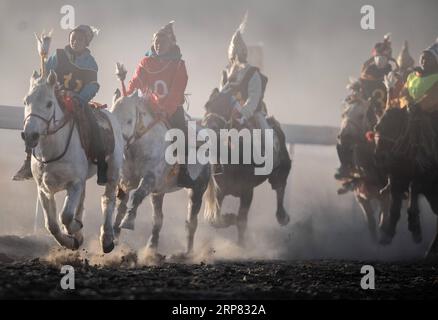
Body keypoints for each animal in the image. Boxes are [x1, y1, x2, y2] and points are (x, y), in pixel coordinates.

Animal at [23, 70, 124, 252]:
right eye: (26, 101)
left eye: (49, 104)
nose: (30, 135)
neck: (52, 151)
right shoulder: (43, 189)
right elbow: (51, 225)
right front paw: (71, 240)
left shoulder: (74, 183)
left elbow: (66, 216)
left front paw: (74, 229)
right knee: (83, 201)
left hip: (113, 171)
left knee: (108, 199)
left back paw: (106, 239)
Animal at [201, 87, 290, 245]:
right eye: (207, 106)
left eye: (226, 108)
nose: (208, 127)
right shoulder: (219, 190)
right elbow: (215, 220)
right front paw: (229, 217)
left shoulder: (248, 191)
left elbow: (242, 221)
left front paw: (241, 245)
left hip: (281, 170)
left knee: (280, 187)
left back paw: (282, 216)